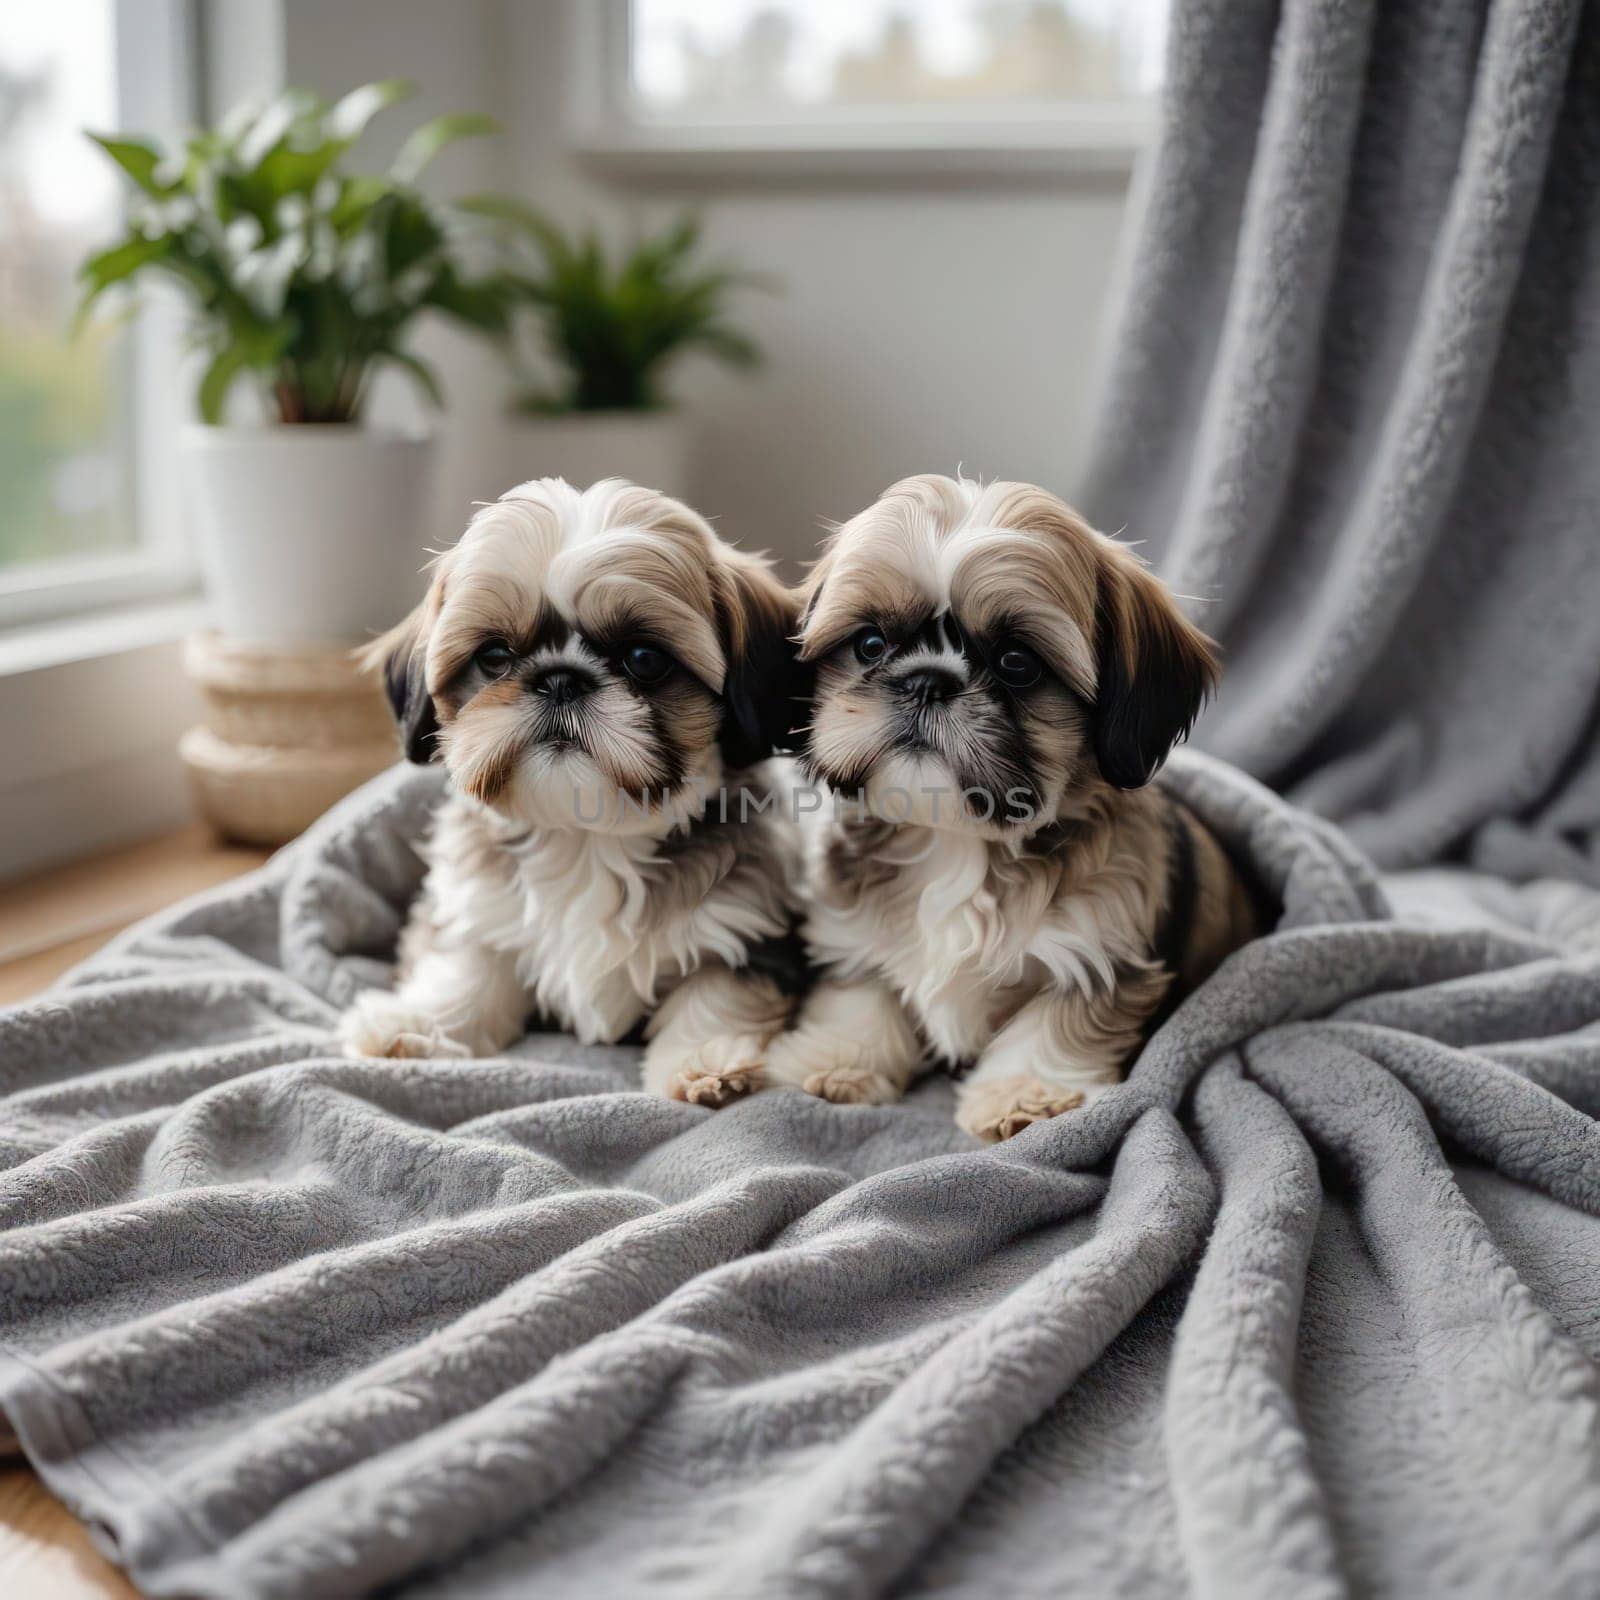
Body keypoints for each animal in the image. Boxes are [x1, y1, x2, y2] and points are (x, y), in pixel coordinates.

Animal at [339, 473, 812, 1100]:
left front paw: (706, 1060)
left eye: (644, 658)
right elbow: (465, 966)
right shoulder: (474, 909)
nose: (560, 679)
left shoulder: (749, 925)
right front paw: (419, 1023)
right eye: (495, 656)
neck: (587, 836)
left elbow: (716, 993)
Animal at [768, 467, 1254, 1145]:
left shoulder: (1098, 946)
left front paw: (1025, 1094)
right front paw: (841, 1060)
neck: (957, 839)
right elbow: (861, 995)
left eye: (1018, 662)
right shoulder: (851, 932)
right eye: (869, 643)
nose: (927, 681)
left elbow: (1056, 1022)